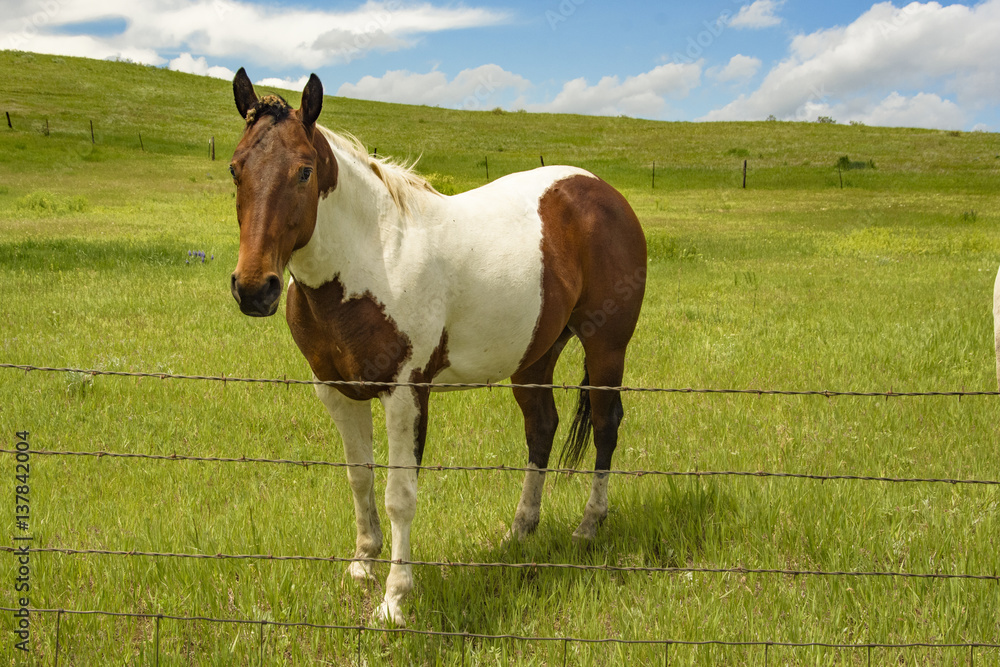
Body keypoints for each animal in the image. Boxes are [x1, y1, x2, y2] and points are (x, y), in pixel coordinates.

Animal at [227, 68, 647, 625]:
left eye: (303, 171)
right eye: (235, 169)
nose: (256, 289)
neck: (371, 258)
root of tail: (600, 190)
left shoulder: (406, 393)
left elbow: (399, 494)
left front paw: (394, 599)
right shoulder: (336, 392)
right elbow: (359, 478)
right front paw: (361, 565)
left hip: (605, 348)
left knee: (604, 425)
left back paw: (588, 525)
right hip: (534, 355)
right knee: (542, 428)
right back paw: (520, 530)